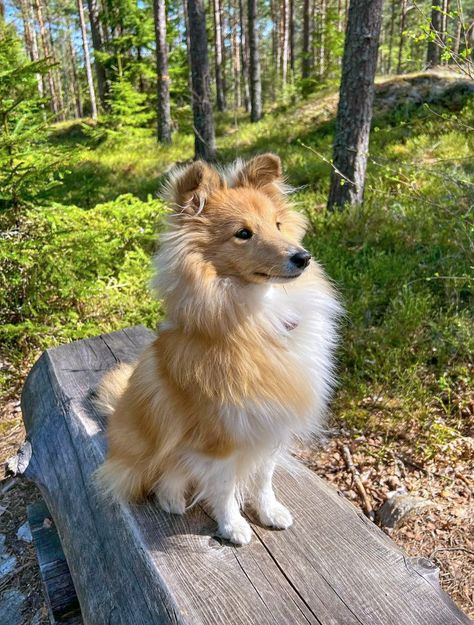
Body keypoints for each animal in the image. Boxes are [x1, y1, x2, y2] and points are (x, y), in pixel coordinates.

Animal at [95, 154, 340, 544]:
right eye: (243, 233)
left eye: (278, 225)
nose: (303, 257)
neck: (256, 317)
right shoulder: (219, 438)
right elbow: (224, 488)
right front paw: (233, 526)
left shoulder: (268, 425)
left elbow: (264, 477)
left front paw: (269, 512)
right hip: (149, 447)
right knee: (159, 475)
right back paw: (172, 500)